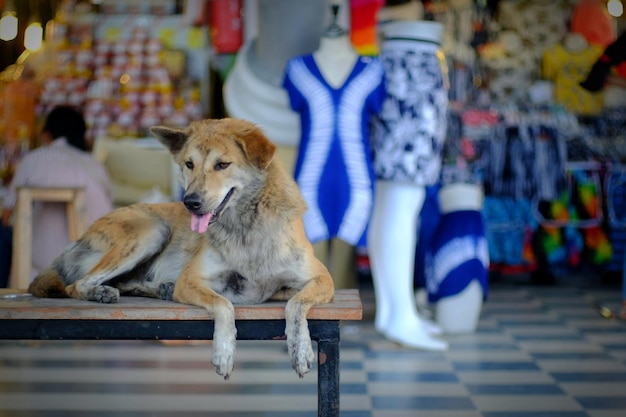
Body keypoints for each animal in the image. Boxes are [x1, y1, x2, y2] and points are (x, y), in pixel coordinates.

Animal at [27, 116, 334, 376]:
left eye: (223, 165)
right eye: (189, 164)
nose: (190, 202)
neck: (247, 225)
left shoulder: (321, 279)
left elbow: (296, 304)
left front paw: (301, 350)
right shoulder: (192, 280)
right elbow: (224, 305)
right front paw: (224, 352)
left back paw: (156, 289)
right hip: (151, 231)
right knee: (76, 284)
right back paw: (103, 292)